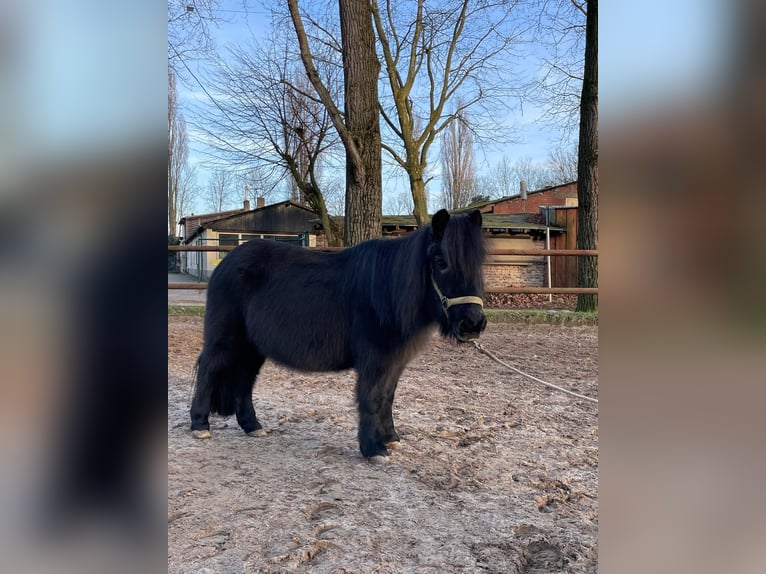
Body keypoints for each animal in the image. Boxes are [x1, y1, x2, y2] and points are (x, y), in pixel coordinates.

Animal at [195, 210, 488, 460]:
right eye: (441, 262)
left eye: (479, 264)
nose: (473, 323)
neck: (385, 294)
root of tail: (226, 262)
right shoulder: (374, 361)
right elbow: (371, 398)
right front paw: (373, 449)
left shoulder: (393, 363)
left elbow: (387, 397)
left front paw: (390, 438)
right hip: (225, 339)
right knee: (208, 369)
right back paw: (200, 425)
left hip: (253, 347)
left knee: (245, 379)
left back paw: (252, 426)